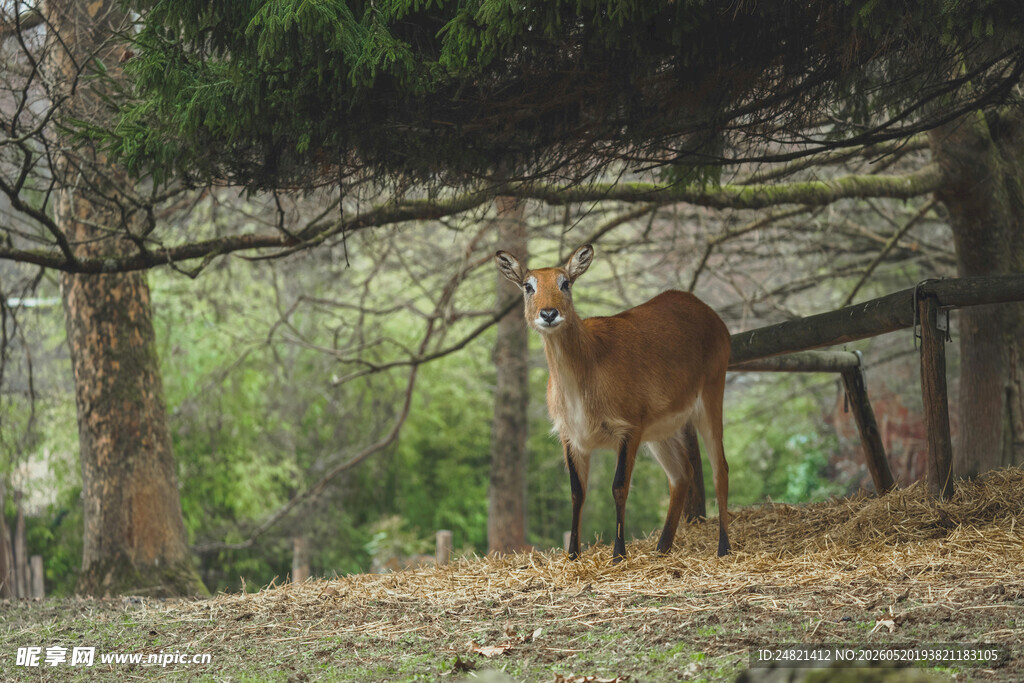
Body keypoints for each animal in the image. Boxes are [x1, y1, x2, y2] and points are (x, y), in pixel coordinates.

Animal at [495, 244, 732, 562]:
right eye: (528, 285)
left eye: (565, 283)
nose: (549, 313)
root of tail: (712, 316)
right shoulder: (571, 437)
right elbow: (577, 491)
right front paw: (572, 555)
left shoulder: (629, 428)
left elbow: (619, 486)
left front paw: (619, 554)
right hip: (661, 430)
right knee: (683, 474)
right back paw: (661, 549)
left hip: (710, 397)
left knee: (721, 468)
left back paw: (723, 548)